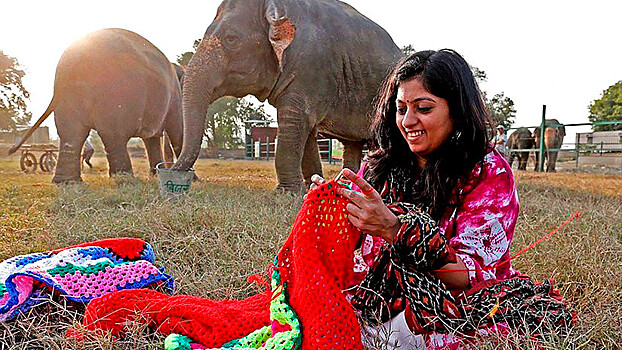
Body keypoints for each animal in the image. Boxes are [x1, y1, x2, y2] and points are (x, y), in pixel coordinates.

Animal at [8, 28, 184, 183]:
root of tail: (70, 66)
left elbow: (154, 137)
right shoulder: (175, 94)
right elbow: (177, 129)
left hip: (68, 99)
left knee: (71, 132)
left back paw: (67, 182)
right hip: (115, 93)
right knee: (114, 133)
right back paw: (126, 180)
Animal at [172, 0, 404, 193]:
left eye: (231, 39)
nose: (173, 172)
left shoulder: (311, 68)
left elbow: (293, 124)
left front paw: (286, 193)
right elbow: (306, 131)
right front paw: (310, 187)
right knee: (352, 145)